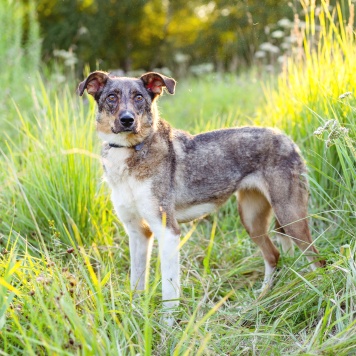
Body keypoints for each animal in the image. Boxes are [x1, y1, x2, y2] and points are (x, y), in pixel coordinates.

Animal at [78, 71, 326, 324]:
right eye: (111, 97)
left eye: (139, 97)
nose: (127, 120)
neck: (130, 151)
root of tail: (286, 138)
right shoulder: (138, 233)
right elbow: (136, 283)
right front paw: (135, 317)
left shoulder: (168, 232)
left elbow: (169, 291)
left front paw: (168, 328)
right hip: (251, 219)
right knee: (274, 256)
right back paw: (260, 300)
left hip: (290, 217)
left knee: (318, 261)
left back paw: (318, 294)